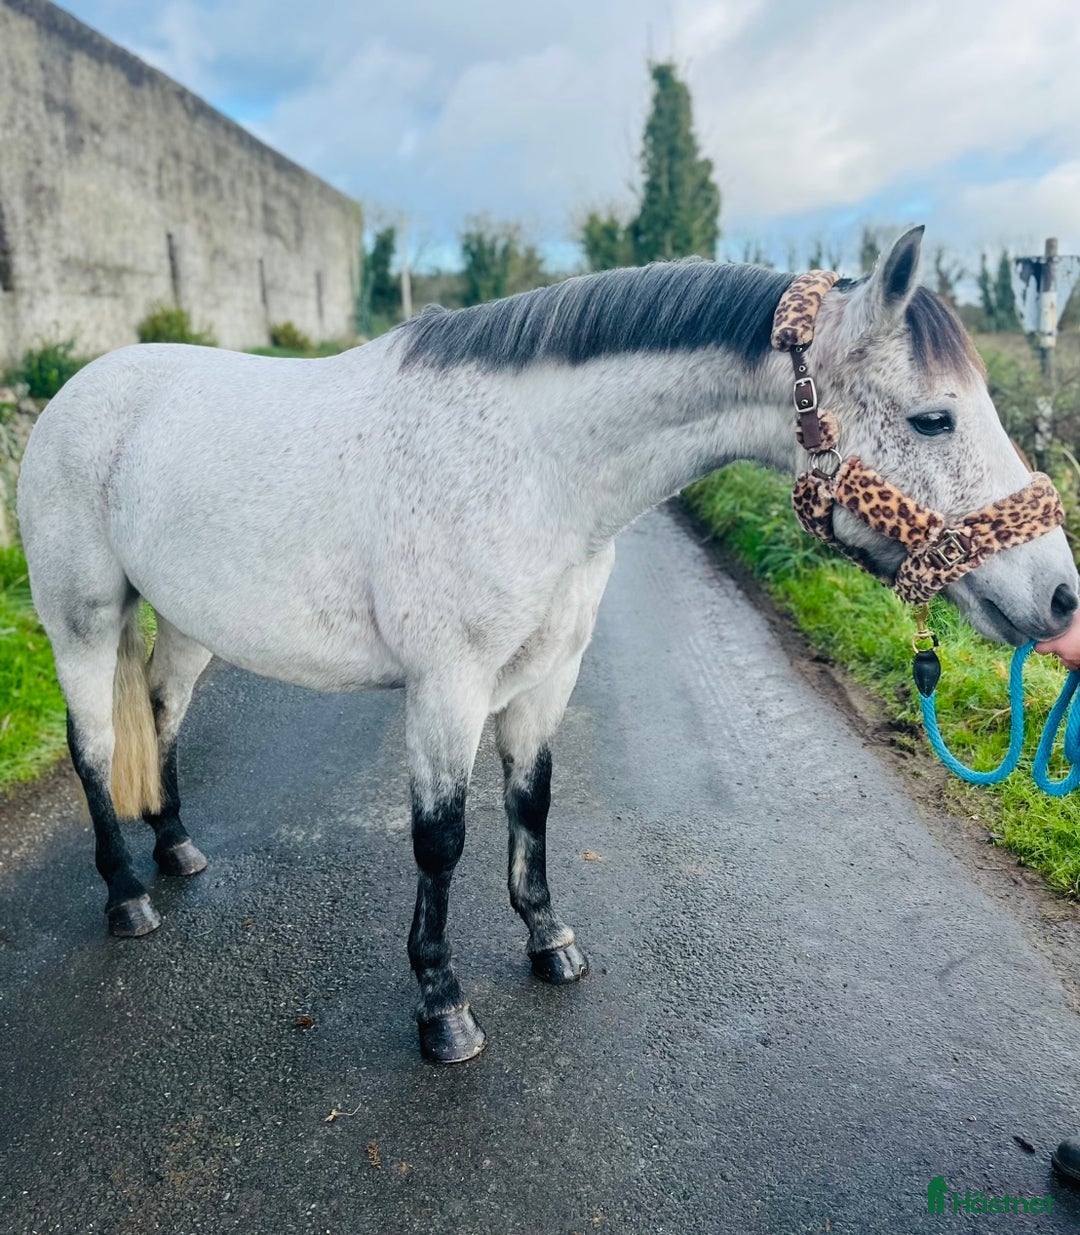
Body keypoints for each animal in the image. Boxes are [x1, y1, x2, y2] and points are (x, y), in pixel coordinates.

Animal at [17, 226, 1079, 1063]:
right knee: (96, 746)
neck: (535, 466)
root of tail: (75, 394)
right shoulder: (446, 685)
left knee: (160, 715)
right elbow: (440, 840)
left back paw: (177, 849)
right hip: (81, 618)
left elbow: (532, 803)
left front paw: (548, 939)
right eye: (933, 416)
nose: (1060, 595)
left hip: (187, 623)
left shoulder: (545, 677)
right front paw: (442, 1008)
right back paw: (127, 895)